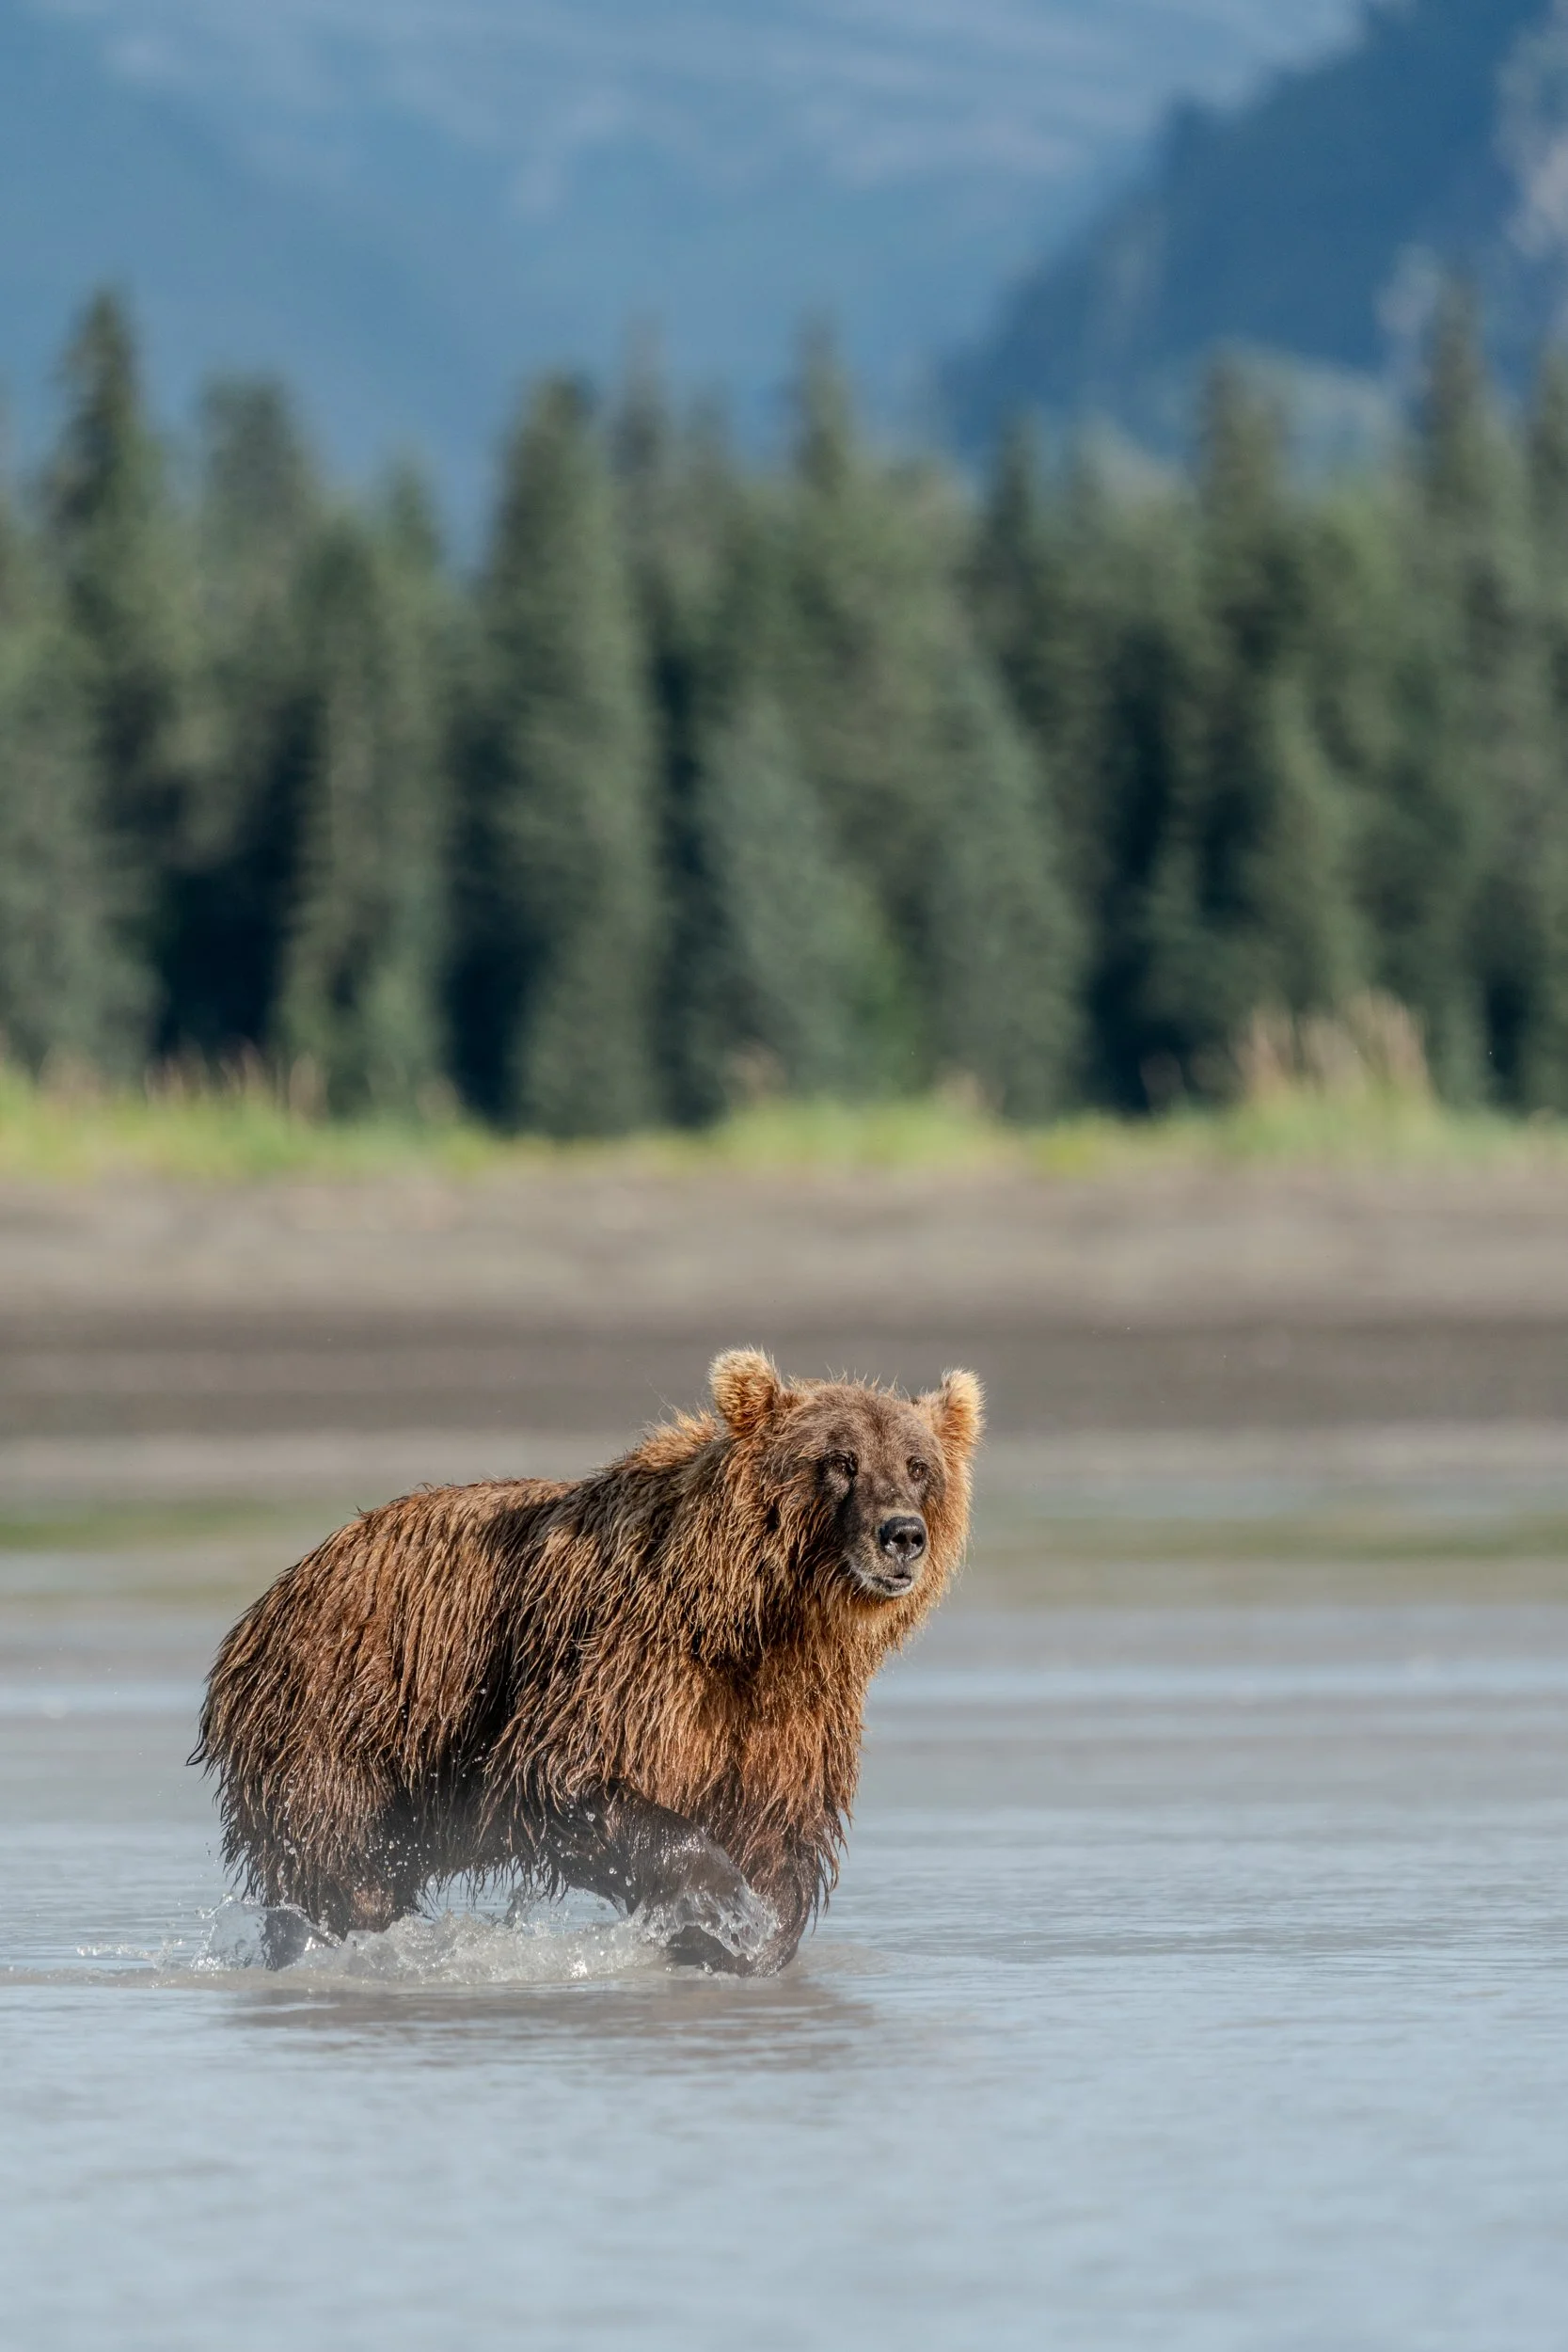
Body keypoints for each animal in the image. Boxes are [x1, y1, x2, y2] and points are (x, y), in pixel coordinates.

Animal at [194, 1349, 983, 1973]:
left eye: (917, 1466)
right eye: (838, 1462)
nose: (900, 1534)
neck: (755, 1624)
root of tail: (278, 1592)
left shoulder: (790, 1719)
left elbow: (778, 1832)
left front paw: (747, 1939)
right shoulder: (625, 1660)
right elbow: (563, 1777)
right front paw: (724, 1905)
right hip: (347, 1714)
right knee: (340, 1863)